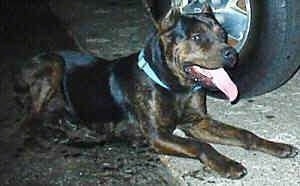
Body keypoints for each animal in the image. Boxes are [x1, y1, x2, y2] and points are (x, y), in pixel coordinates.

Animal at [16, 4, 298, 179]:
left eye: (223, 33)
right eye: (196, 37)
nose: (232, 54)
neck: (174, 85)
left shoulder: (198, 122)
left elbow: (243, 134)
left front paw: (276, 146)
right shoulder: (157, 134)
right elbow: (200, 145)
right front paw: (226, 164)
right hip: (53, 64)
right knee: (28, 119)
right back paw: (50, 135)